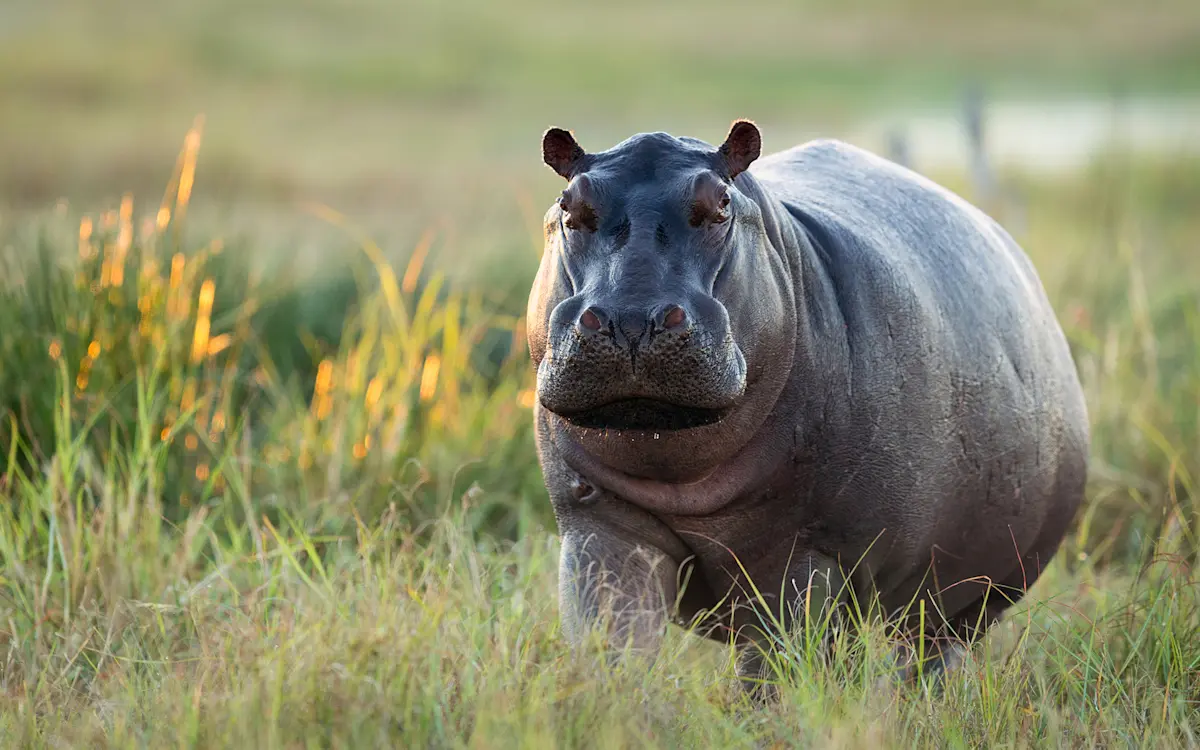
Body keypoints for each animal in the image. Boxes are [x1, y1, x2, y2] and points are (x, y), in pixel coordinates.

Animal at [526, 120, 1089, 692]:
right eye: (568, 205)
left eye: (721, 204)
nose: (632, 319)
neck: (679, 475)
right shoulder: (599, 525)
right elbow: (612, 644)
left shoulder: (809, 555)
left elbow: (775, 669)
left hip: (970, 596)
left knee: (930, 653)